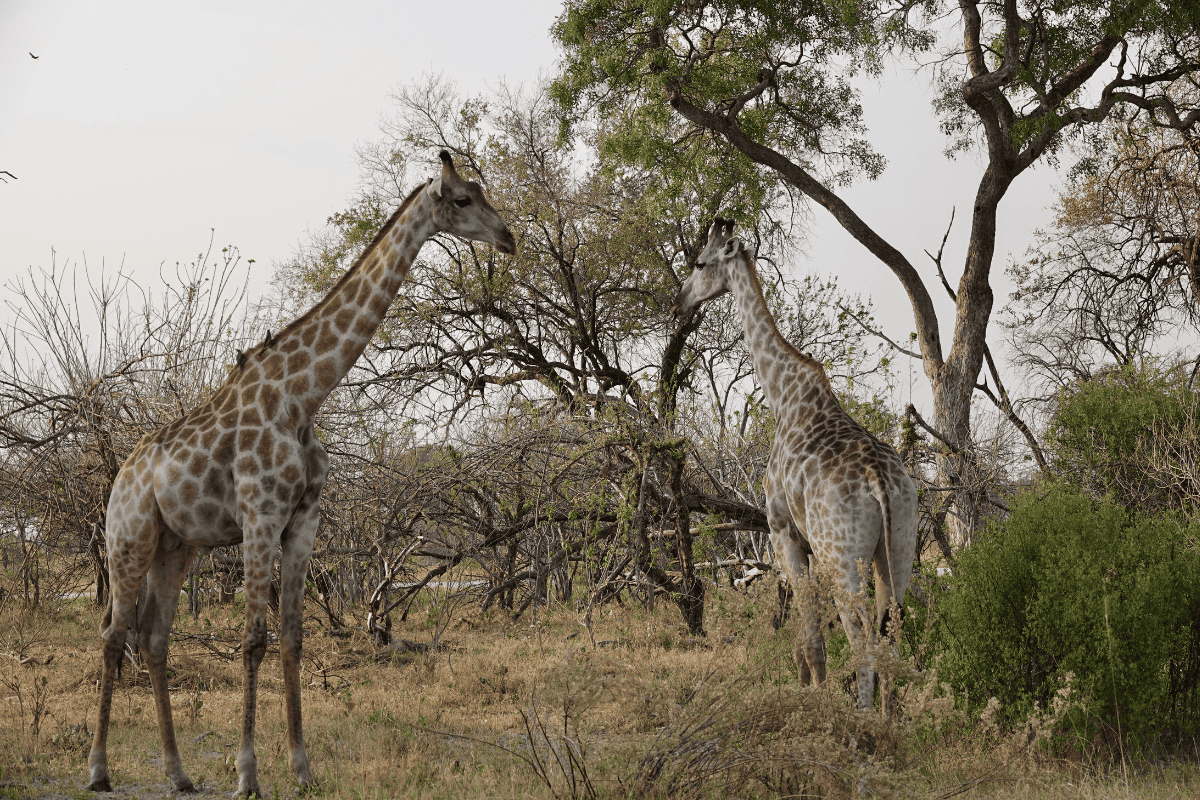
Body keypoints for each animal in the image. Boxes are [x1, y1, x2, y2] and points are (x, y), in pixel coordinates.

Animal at [87, 151, 515, 796]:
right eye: (464, 198)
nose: (509, 237)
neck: (303, 397)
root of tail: (122, 477)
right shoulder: (261, 514)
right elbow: (252, 640)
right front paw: (247, 775)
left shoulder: (304, 518)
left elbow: (291, 637)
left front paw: (302, 767)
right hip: (128, 538)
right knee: (113, 636)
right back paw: (99, 769)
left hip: (175, 545)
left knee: (154, 639)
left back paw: (179, 773)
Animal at [671, 218, 918, 712]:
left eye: (700, 263)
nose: (677, 303)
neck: (782, 395)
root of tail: (880, 482)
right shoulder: (809, 544)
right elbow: (809, 633)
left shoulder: (784, 532)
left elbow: (810, 635)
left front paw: (813, 697)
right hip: (899, 547)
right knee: (892, 632)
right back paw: (887, 718)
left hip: (842, 555)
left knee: (861, 636)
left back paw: (862, 720)